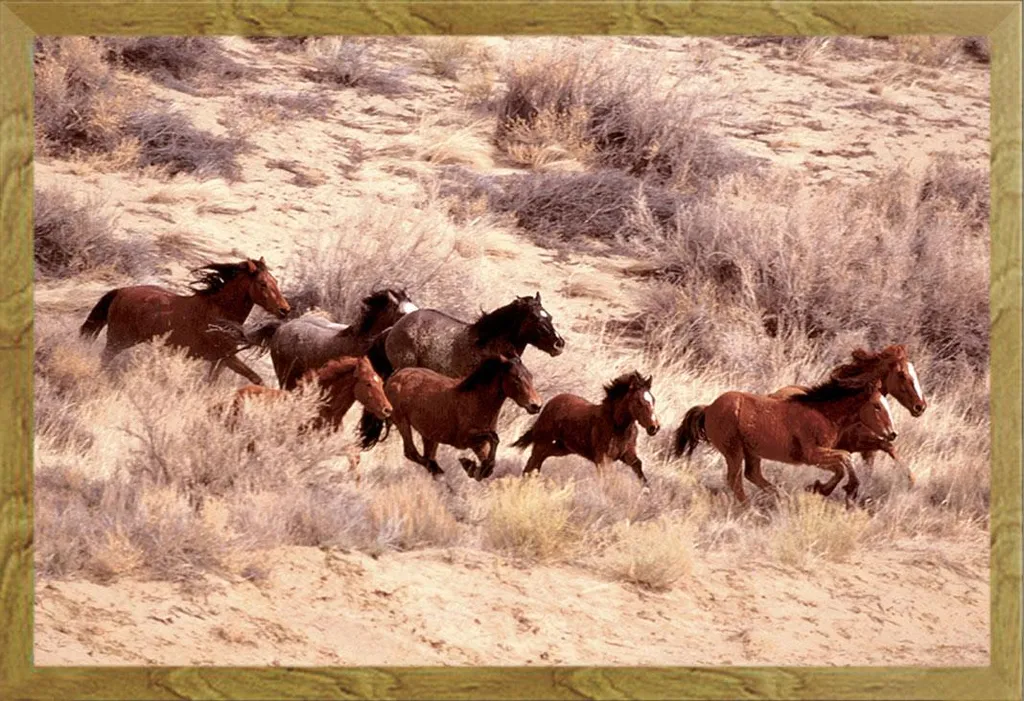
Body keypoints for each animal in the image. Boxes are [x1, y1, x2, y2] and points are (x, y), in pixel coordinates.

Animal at [80, 258, 289, 385]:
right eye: (263, 284)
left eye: (275, 281)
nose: (285, 309)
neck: (219, 313)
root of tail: (121, 291)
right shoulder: (227, 357)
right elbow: (256, 378)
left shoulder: (221, 360)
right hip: (118, 340)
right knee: (104, 359)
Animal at [359, 356, 542, 481]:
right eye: (516, 379)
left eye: (531, 376)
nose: (536, 405)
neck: (476, 400)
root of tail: (395, 377)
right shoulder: (465, 439)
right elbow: (494, 438)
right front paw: (468, 464)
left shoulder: (479, 444)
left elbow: (490, 461)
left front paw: (474, 467)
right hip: (402, 422)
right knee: (412, 453)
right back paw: (437, 471)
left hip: (429, 435)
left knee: (426, 455)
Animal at [512, 371, 660, 485]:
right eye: (639, 402)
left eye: (653, 400)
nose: (654, 427)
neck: (618, 426)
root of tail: (550, 403)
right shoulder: (602, 460)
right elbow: (607, 480)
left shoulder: (627, 454)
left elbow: (638, 466)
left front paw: (646, 491)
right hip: (543, 442)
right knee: (533, 460)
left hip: (563, 448)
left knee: (542, 457)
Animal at [674, 377, 897, 505]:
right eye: (877, 406)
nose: (892, 434)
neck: (823, 414)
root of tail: (709, 408)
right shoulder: (812, 454)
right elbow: (846, 458)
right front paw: (847, 488)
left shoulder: (819, 456)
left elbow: (840, 467)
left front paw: (819, 488)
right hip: (733, 451)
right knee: (735, 479)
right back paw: (750, 509)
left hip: (751, 452)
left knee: (751, 474)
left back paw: (781, 497)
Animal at [769, 345, 926, 484]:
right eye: (901, 374)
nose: (920, 406)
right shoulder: (856, 442)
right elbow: (887, 445)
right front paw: (911, 480)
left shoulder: (867, 451)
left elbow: (874, 461)